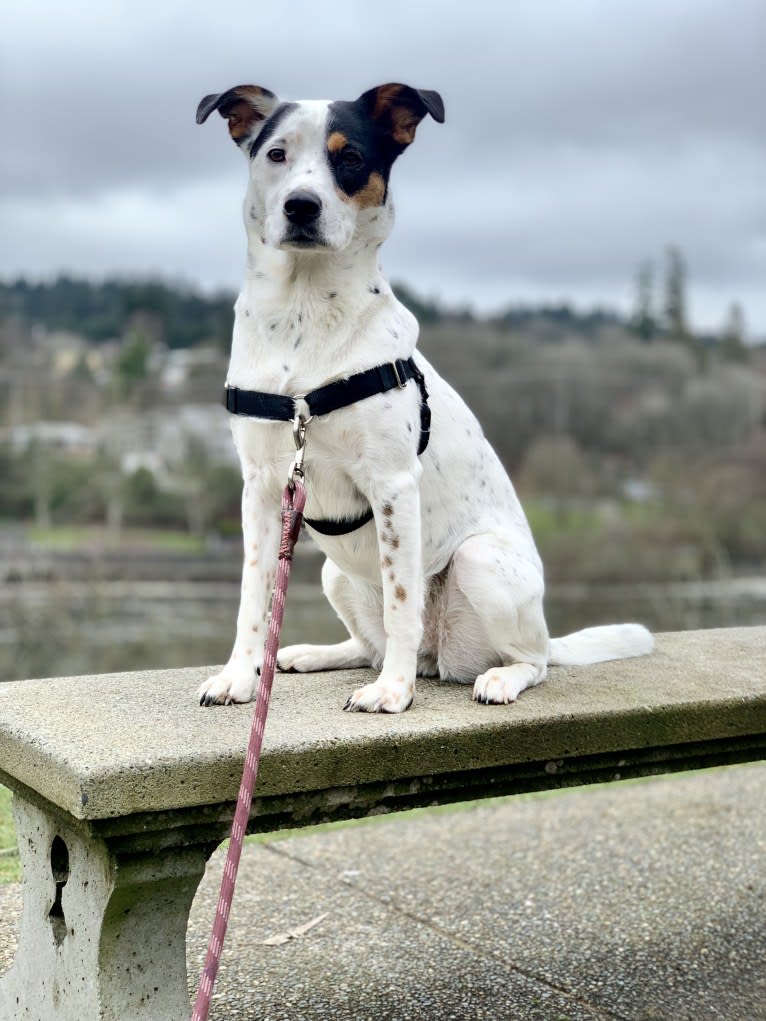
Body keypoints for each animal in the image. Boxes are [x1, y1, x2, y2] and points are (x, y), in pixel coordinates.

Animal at [196, 81, 653, 710]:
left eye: (350, 158)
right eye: (276, 154)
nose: (301, 207)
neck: (303, 315)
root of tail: (439, 658)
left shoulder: (391, 485)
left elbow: (401, 604)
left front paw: (393, 692)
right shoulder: (262, 488)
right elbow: (252, 597)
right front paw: (239, 677)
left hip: (480, 562)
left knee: (529, 661)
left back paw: (492, 677)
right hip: (335, 574)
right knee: (367, 644)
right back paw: (312, 655)